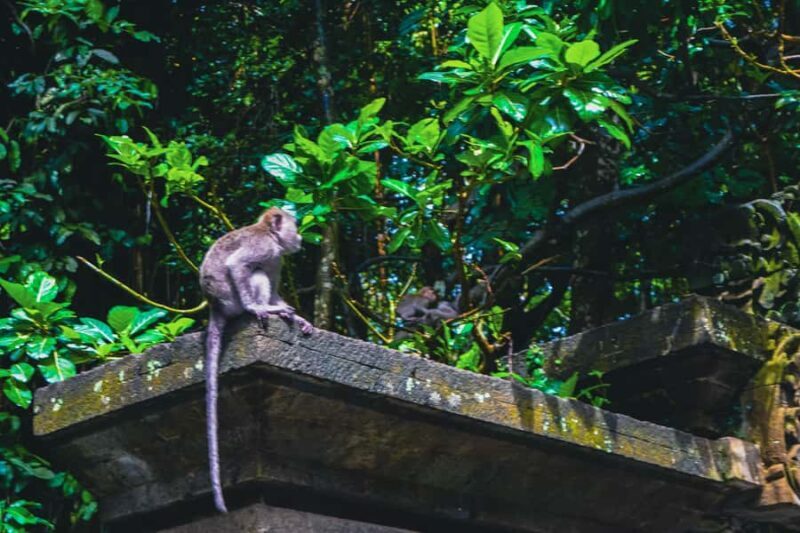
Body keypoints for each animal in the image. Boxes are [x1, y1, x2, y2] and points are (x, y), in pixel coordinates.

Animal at [199, 207, 312, 513]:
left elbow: (273, 287)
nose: (299, 237)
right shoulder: (263, 248)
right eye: (294, 226)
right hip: (231, 300)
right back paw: (262, 309)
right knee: (254, 273)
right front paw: (258, 307)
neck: (271, 237)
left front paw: (299, 318)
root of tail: (215, 307)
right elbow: (238, 265)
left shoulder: (277, 258)